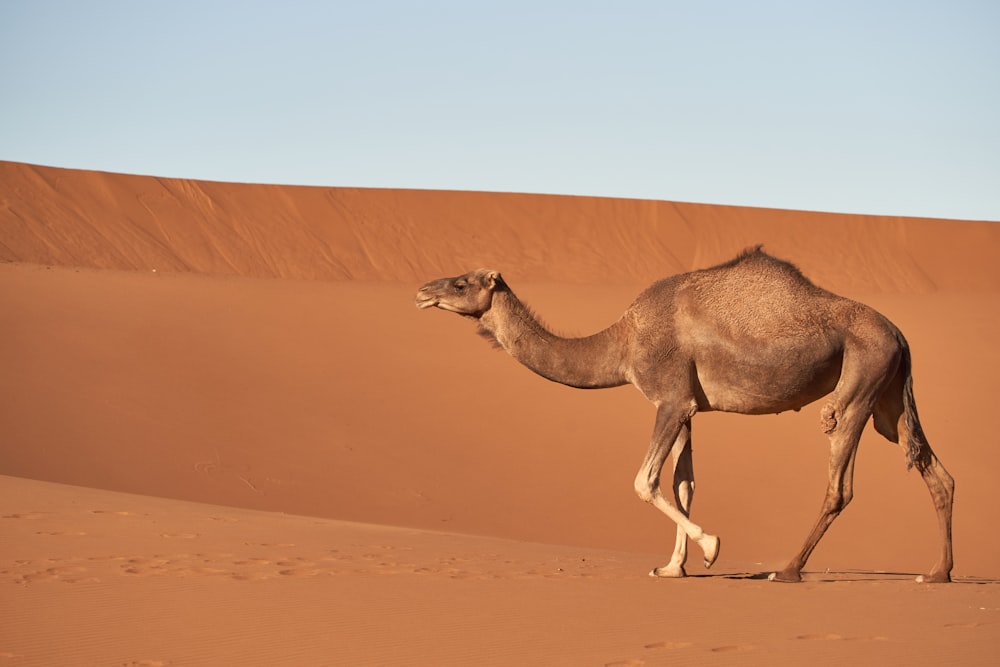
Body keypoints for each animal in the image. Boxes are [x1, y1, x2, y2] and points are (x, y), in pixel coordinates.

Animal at [412, 248, 952, 580]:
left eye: (460, 283)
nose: (421, 291)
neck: (623, 342)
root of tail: (899, 333)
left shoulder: (670, 398)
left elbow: (644, 481)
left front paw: (710, 547)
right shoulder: (688, 406)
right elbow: (683, 483)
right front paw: (674, 567)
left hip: (859, 383)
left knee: (840, 481)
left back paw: (787, 569)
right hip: (888, 397)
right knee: (931, 467)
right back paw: (937, 573)